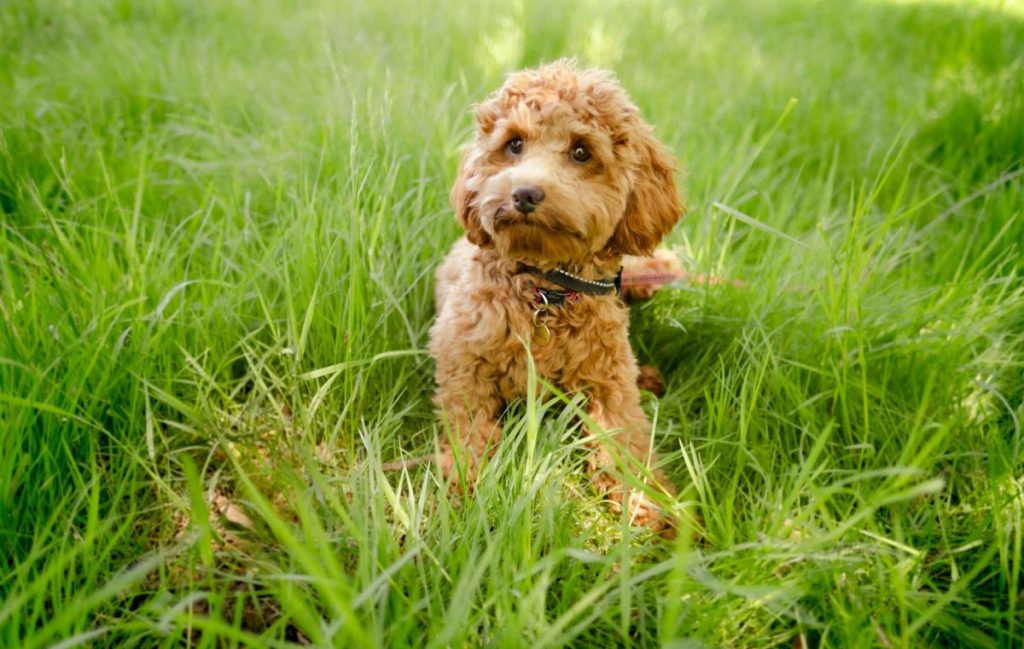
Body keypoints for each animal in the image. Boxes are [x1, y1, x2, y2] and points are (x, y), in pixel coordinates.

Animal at [428, 59, 684, 536]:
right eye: (514, 144)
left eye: (582, 152)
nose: (525, 193)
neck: (545, 289)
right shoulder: (464, 365)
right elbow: (468, 433)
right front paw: (464, 495)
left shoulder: (609, 383)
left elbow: (626, 441)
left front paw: (649, 509)